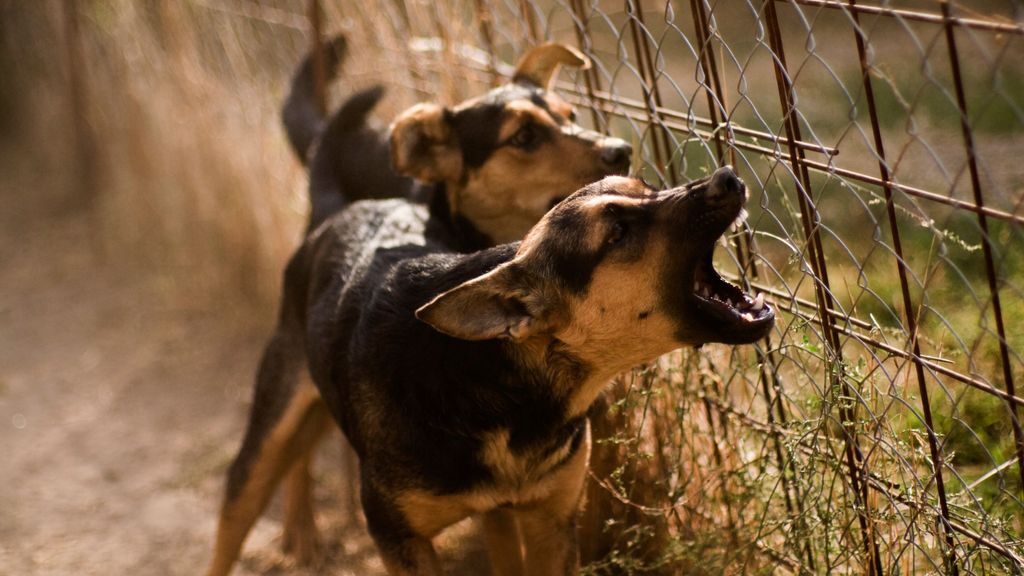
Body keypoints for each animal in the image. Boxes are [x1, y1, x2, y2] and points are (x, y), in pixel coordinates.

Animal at [202, 41, 630, 573]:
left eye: (570, 115)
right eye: (524, 137)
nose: (622, 151)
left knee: (304, 443)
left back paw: (302, 528)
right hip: (280, 395)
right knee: (248, 490)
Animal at [205, 163, 770, 569]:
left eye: (648, 187)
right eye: (616, 232)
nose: (728, 176)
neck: (500, 382)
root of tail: (341, 210)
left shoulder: (550, 521)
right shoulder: (398, 538)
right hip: (265, 434)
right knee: (239, 508)